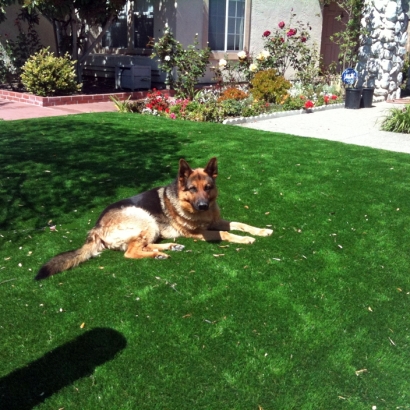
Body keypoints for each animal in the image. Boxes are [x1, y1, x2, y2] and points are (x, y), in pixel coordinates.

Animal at [36, 156, 272, 278]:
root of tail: (96, 227)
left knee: (142, 245)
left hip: (151, 227)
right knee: (131, 252)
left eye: (207, 187)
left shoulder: (216, 221)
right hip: (146, 219)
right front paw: (245, 239)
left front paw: (261, 230)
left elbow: (240, 223)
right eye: (192, 189)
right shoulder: (200, 233)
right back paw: (158, 254)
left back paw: (168, 248)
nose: (203, 205)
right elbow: (226, 234)